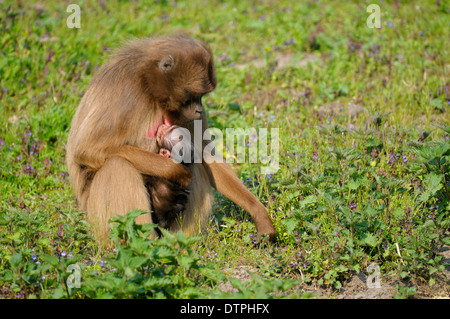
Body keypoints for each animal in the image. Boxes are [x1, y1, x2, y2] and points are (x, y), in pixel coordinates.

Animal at [64, 35, 274, 245]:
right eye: (194, 95)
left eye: (201, 96)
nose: (199, 110)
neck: (148, 87)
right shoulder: (125, 95)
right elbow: (87, 150)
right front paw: (177, 171)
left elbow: (205, 154)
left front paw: (259, 213)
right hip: (96, 218)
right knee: (117, 164)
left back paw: (179, 244)